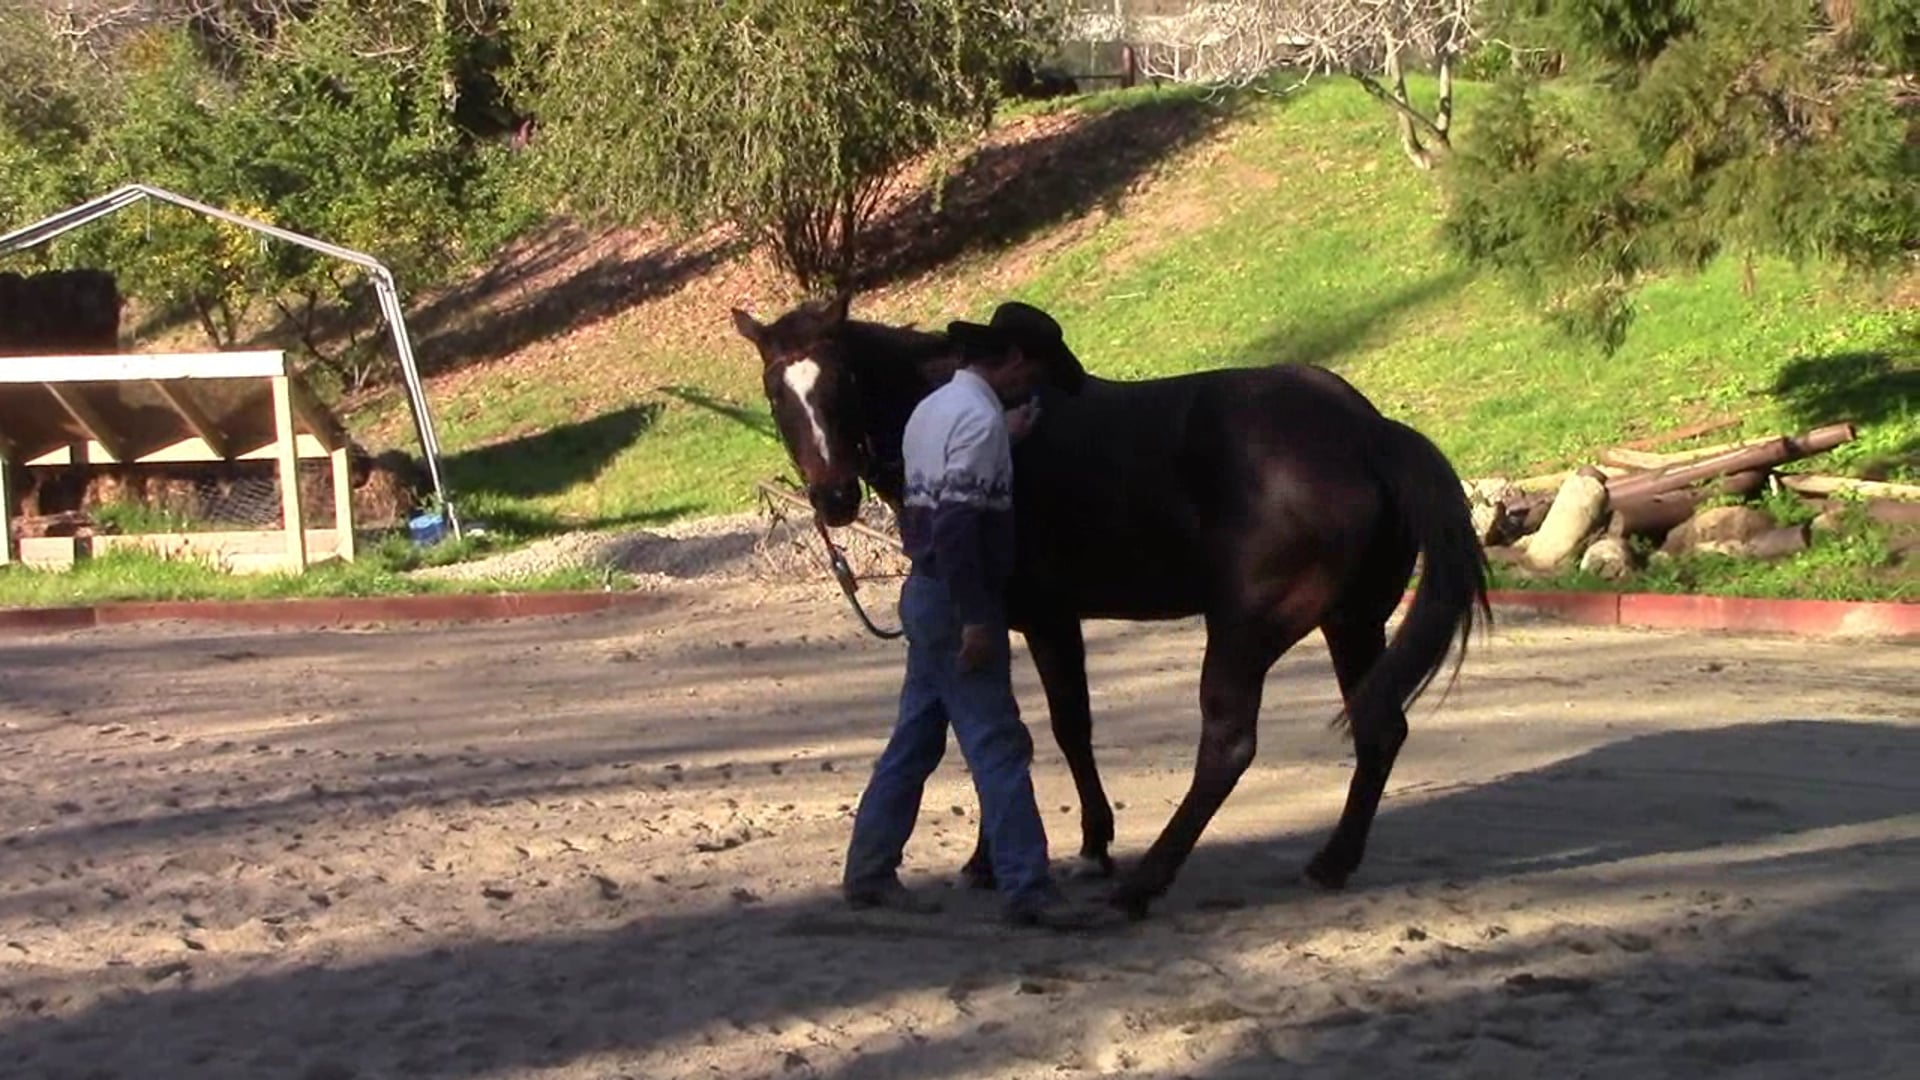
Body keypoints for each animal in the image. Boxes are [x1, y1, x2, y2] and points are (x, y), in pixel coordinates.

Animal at [730, 293, 1492, 918]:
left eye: (843, 381)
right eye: (774, 390)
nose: (835, 496)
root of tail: (1368, 432)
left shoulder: (1039, 621)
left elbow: (1043, 732)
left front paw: (1067, 850)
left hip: (1245, 631)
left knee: (1228, 746)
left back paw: (1144, 883)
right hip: (1352, 623)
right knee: (1378, 727)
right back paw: (1330, 862)